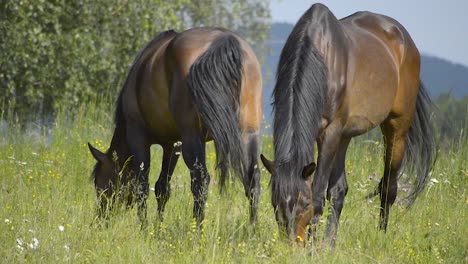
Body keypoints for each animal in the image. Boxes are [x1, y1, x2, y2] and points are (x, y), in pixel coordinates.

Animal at [88, 26, 264, 227]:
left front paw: (144, 227)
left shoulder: (138, 137)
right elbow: (162, 187)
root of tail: (223, 41)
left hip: (193, 138)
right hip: (247, 135)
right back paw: (252, 229)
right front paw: (157, 228)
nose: (101, 220)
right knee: (252, 182)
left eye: (100, 184)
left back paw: (197, 230)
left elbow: (142, 185)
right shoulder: (172, 144)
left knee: (200, 183)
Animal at [260, 3, 436, 244]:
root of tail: (406, 40)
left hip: (396, 128)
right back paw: (330, 242)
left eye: (304, 203)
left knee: (389, 188)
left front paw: (313, 246)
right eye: (274, 202)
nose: (292, 244)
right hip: (345, 137)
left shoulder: (330, 133)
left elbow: (318, 194)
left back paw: (380, 237)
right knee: (339, 191)